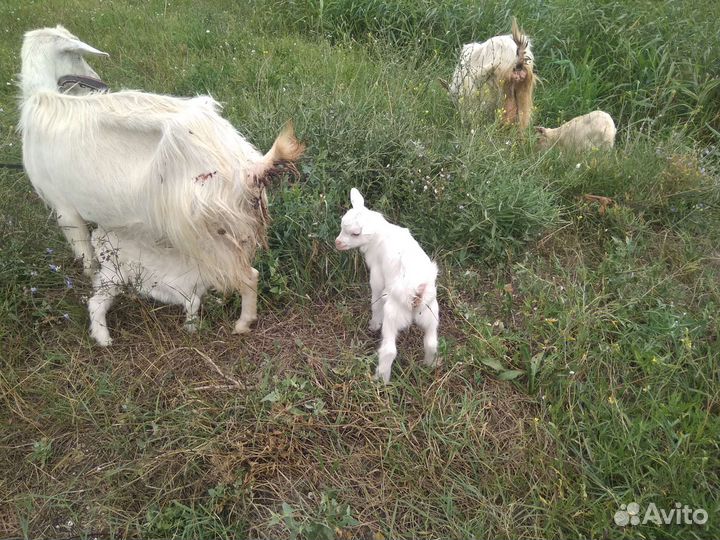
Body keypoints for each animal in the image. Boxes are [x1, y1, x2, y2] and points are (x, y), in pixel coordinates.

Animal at [19, 25, 304, 335]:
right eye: (78, 57)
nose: (97, 81)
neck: (44, 103)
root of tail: (248, 166)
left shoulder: (65, 210)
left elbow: (86, 258)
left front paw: (90, 278)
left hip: (205, 231)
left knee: (248, 275)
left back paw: (242, 324)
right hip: (238, 224)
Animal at [335, 188, 440, 383]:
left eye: (355, 234)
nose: (337, 243)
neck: (380, 234)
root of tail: (417, 291)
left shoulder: (377, 274)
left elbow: (375, 299)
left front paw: (373, 324)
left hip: (394, 313)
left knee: (389, 350)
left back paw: (380, 378)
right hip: (430, 314)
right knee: (431, 342)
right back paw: (429, 365)